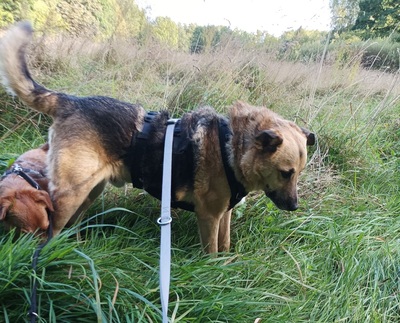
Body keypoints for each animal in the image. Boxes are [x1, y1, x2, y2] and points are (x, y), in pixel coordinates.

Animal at [0, 23, 316, 256]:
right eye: (286, 173)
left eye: (298, 173)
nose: (295, 207)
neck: (231, 145)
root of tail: (69, 101)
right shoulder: (209, 216)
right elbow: (213, 252)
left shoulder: (223, 215)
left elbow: (225, 246)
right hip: (69, 196)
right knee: (53, 231)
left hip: (90, 191)